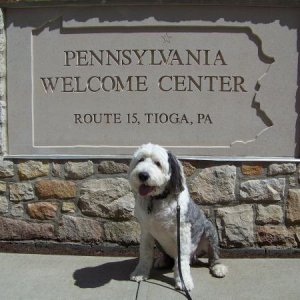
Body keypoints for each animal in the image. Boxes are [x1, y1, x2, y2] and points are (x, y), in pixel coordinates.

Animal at [127, 143, 229, 290]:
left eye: (158, 163)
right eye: (141, 160)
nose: (143, 175)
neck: (157, 199)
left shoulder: (183, 231)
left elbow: (181, 259)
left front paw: (183, 281)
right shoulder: (146, 231)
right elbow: (145, 253)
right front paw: (140, 273)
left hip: (210, 231)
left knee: (212, 255)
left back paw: (218, 268)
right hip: (159, 241)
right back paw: (163, 261)